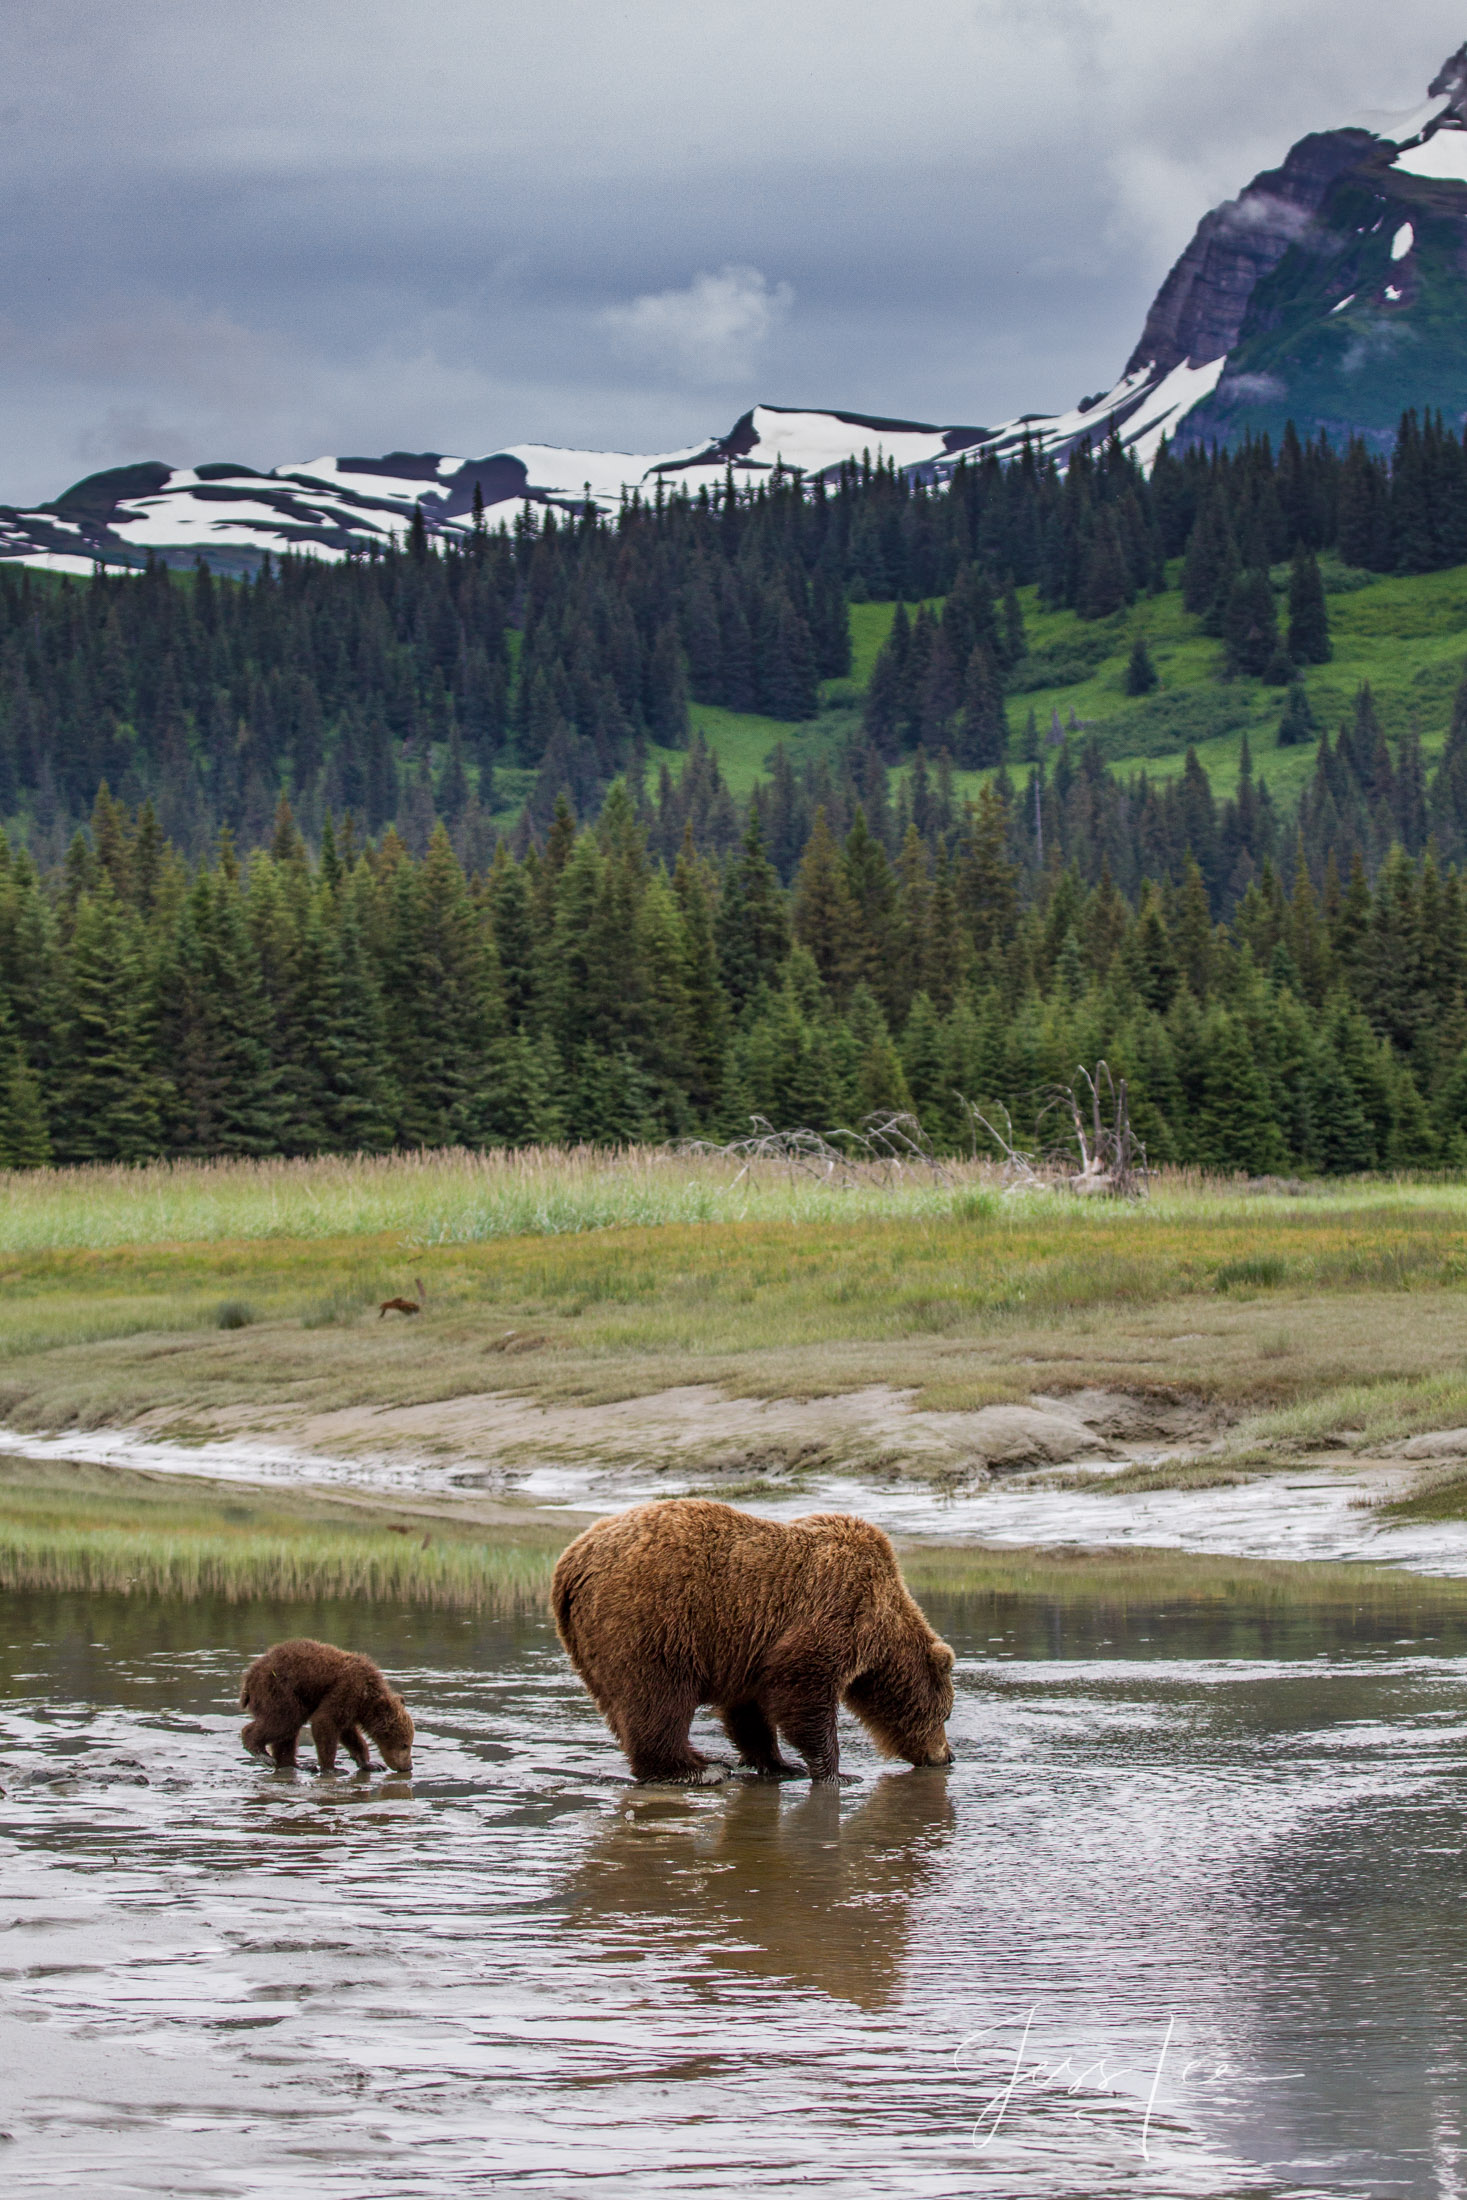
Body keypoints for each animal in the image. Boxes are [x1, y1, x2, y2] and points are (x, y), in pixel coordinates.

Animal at [238, 1645, 415, 1777]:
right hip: (279, 1690)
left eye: (409, 1743)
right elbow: (325, 1722)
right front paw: (333, 1769)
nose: (408, 1767)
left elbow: (349, 1734)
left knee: (287, 1733)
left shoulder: (352, 1707)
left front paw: (371, 1764)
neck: (367, 1701)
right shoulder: (348, 1689)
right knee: (285, 1721)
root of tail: (248, 1678)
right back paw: (260, 1751)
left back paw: (297, 1765)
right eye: (405, 1745)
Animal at [547, 1496, 954, 1786]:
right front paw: (836, 1772)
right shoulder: (837, 1609)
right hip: (653, 1617)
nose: (947, 1756)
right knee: (656, 1696)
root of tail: (570, 1563)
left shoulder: (750, 1647)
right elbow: (803, 1686)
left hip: (588, 1641)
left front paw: (779, 1763)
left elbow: (749, 1709)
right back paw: (697, 1769)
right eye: (946, 1713)